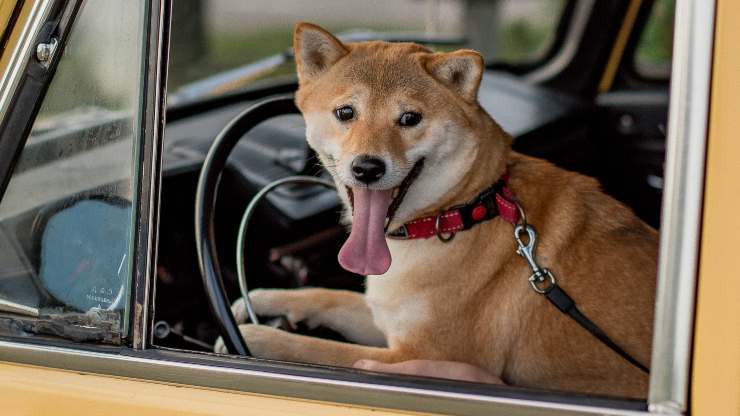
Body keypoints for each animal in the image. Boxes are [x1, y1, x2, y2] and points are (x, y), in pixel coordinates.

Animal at [217, 22, 656, 396]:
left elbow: (323, 352)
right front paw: (264, 298)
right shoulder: (386, 315)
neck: (462, 212)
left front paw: (260, 338)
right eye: (345, 113)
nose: (367, 167)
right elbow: (326, 295)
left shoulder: (415, 356)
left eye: (410, 118)